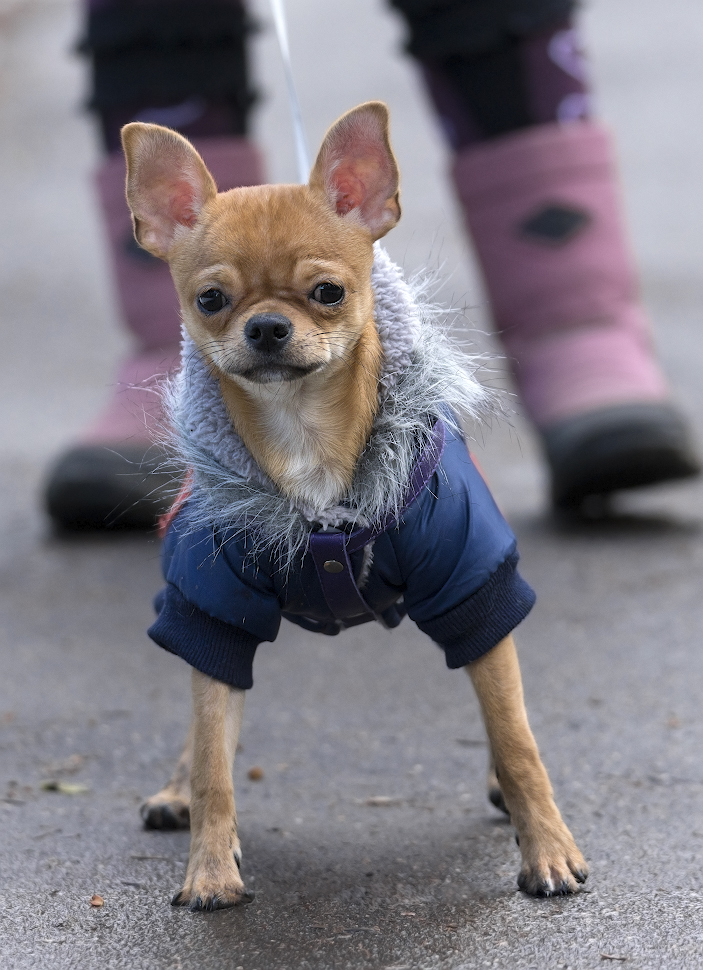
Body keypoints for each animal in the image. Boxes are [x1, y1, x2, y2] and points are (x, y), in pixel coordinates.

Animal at [122, 104, 588, 908]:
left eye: (327, 292)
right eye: (210, 300)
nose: (266, 326)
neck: (305, 439)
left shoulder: (470, 585)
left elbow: (515, 736)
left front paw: (549, 851)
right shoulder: (213, 606)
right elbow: (214, 757)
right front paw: (208, 865)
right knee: (203, 720)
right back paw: (177, 792)